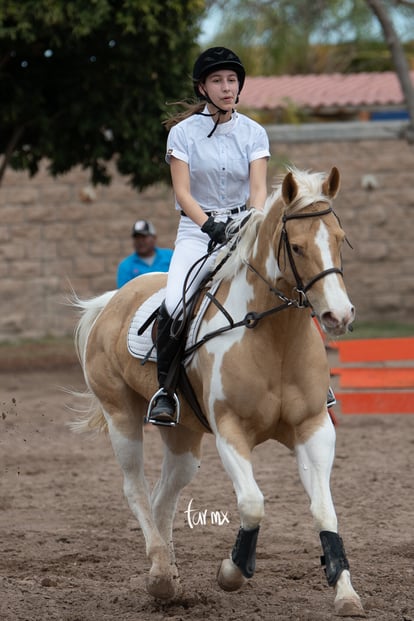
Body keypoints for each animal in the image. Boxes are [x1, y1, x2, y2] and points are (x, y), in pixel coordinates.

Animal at [73, 168, 364, 616]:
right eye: (297, 247)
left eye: (339, 238)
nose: (338, 316)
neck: (275, 336)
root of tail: (112, 301)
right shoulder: (231, 430)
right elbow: (253, 504)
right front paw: (232, 572)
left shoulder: (314, 428)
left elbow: (324, 511)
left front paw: (346, 593)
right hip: (121, 415)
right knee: (135, 488)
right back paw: (160, 576)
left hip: (183, 436)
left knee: (163, 497)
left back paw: (167, 577)